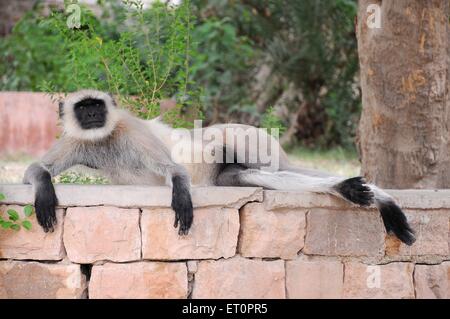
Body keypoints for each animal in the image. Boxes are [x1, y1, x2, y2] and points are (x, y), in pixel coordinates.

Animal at [22, 90, 416, 245]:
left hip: (252, 139)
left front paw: (181, 196)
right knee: (247, 175)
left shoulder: (131, 130)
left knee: (229, 145)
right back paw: (345, 188)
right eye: (83, 108)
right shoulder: (80, 141)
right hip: (229, 172)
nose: (91, 115)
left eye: (97, 106)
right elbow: (35, 170)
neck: (106, 138)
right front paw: (44, 193)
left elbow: (174, 170)